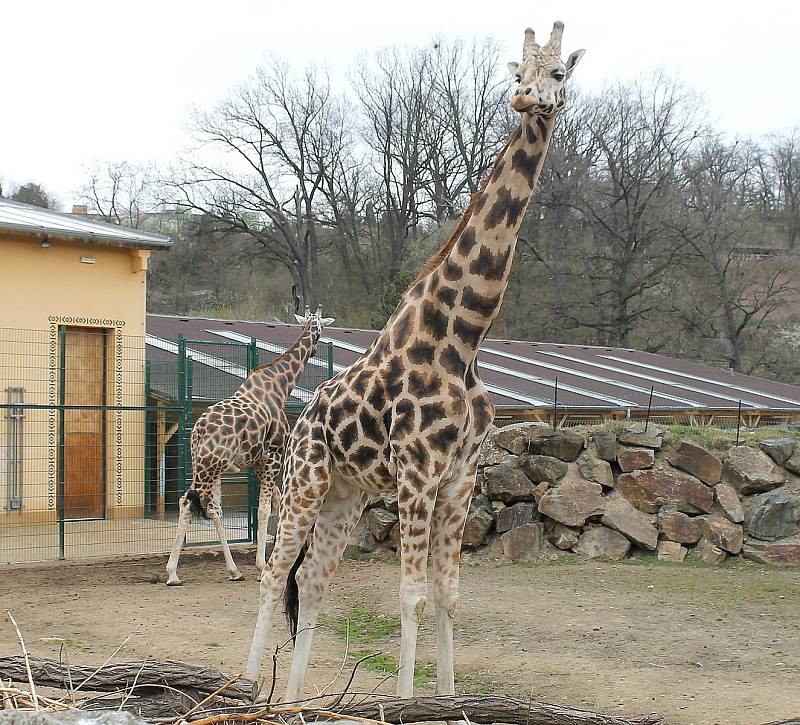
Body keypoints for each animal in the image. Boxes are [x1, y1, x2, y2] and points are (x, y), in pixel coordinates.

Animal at [166, 302, 334, 584]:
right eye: (320, 329)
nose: (315, 349)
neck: (281, 385)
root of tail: (197, 432)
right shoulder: (273, 456)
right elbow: (265, 509)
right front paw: (262, 564)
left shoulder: (258, 462)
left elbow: (277, 502)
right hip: (210, 467)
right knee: (189, 502)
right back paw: (173, 573)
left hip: (209, 467)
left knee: (213, 509)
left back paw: (233, 570)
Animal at [244, 24, 580, 696]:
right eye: (518, 70)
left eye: (558, 72)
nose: (525, 99)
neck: (461, 341)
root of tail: (301, 417)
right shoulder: (417, 476)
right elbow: (412, 598)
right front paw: (405, 700)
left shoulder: (459, 479)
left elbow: (449, 596)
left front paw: (449, 698)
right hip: (304, 481)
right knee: (273, 573)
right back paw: (244, 689)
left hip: (345, 494)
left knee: (312, 583)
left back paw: (292, 701)